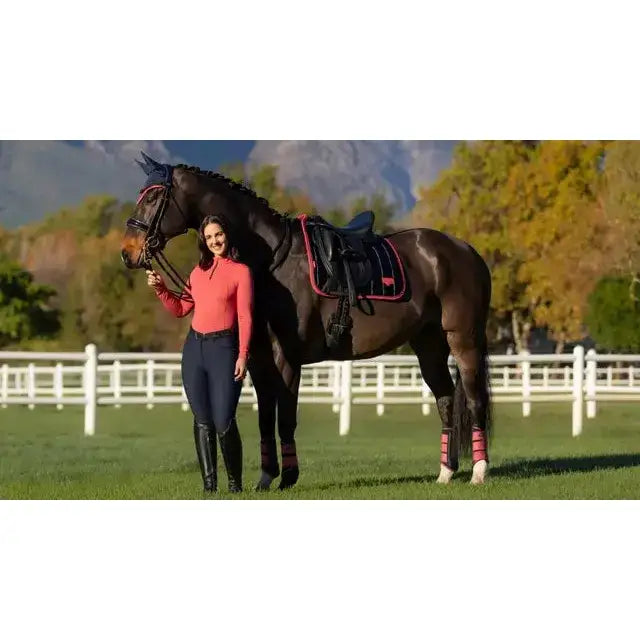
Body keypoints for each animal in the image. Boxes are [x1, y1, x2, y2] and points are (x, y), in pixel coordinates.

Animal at [121, 153, 493, 490]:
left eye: (152, 197)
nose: (128, 252)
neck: (273, 260)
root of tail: (466, 250)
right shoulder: (257, 360)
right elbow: (265, 419)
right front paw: (266, 478)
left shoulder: (287, 358)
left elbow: (285, 418)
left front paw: (288, 477)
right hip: (428, 343)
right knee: (445, 399)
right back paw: (445, 473)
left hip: (463, 339)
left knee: (474, 399)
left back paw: (479, 472)